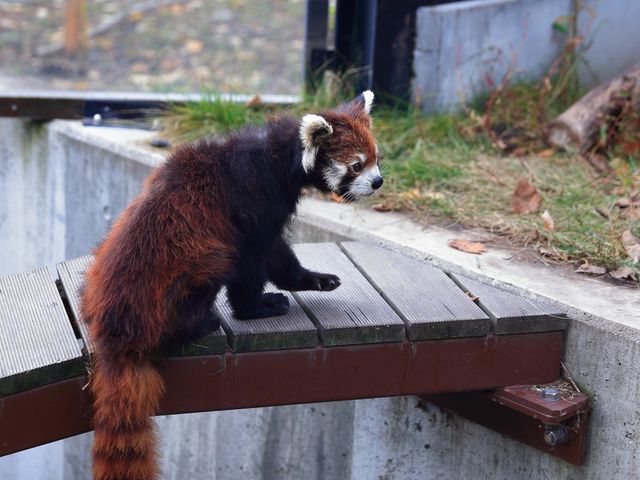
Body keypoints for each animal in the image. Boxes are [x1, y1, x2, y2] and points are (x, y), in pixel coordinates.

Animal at [80, 91, 380, 480]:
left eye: (376, 159)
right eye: (356, 166)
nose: (378, 182)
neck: (278, 155)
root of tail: (116, 332)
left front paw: (313, 280)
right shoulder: (255, 203)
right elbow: (258, 258)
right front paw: (262, 305)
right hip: (196, 264)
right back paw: (201, 322)